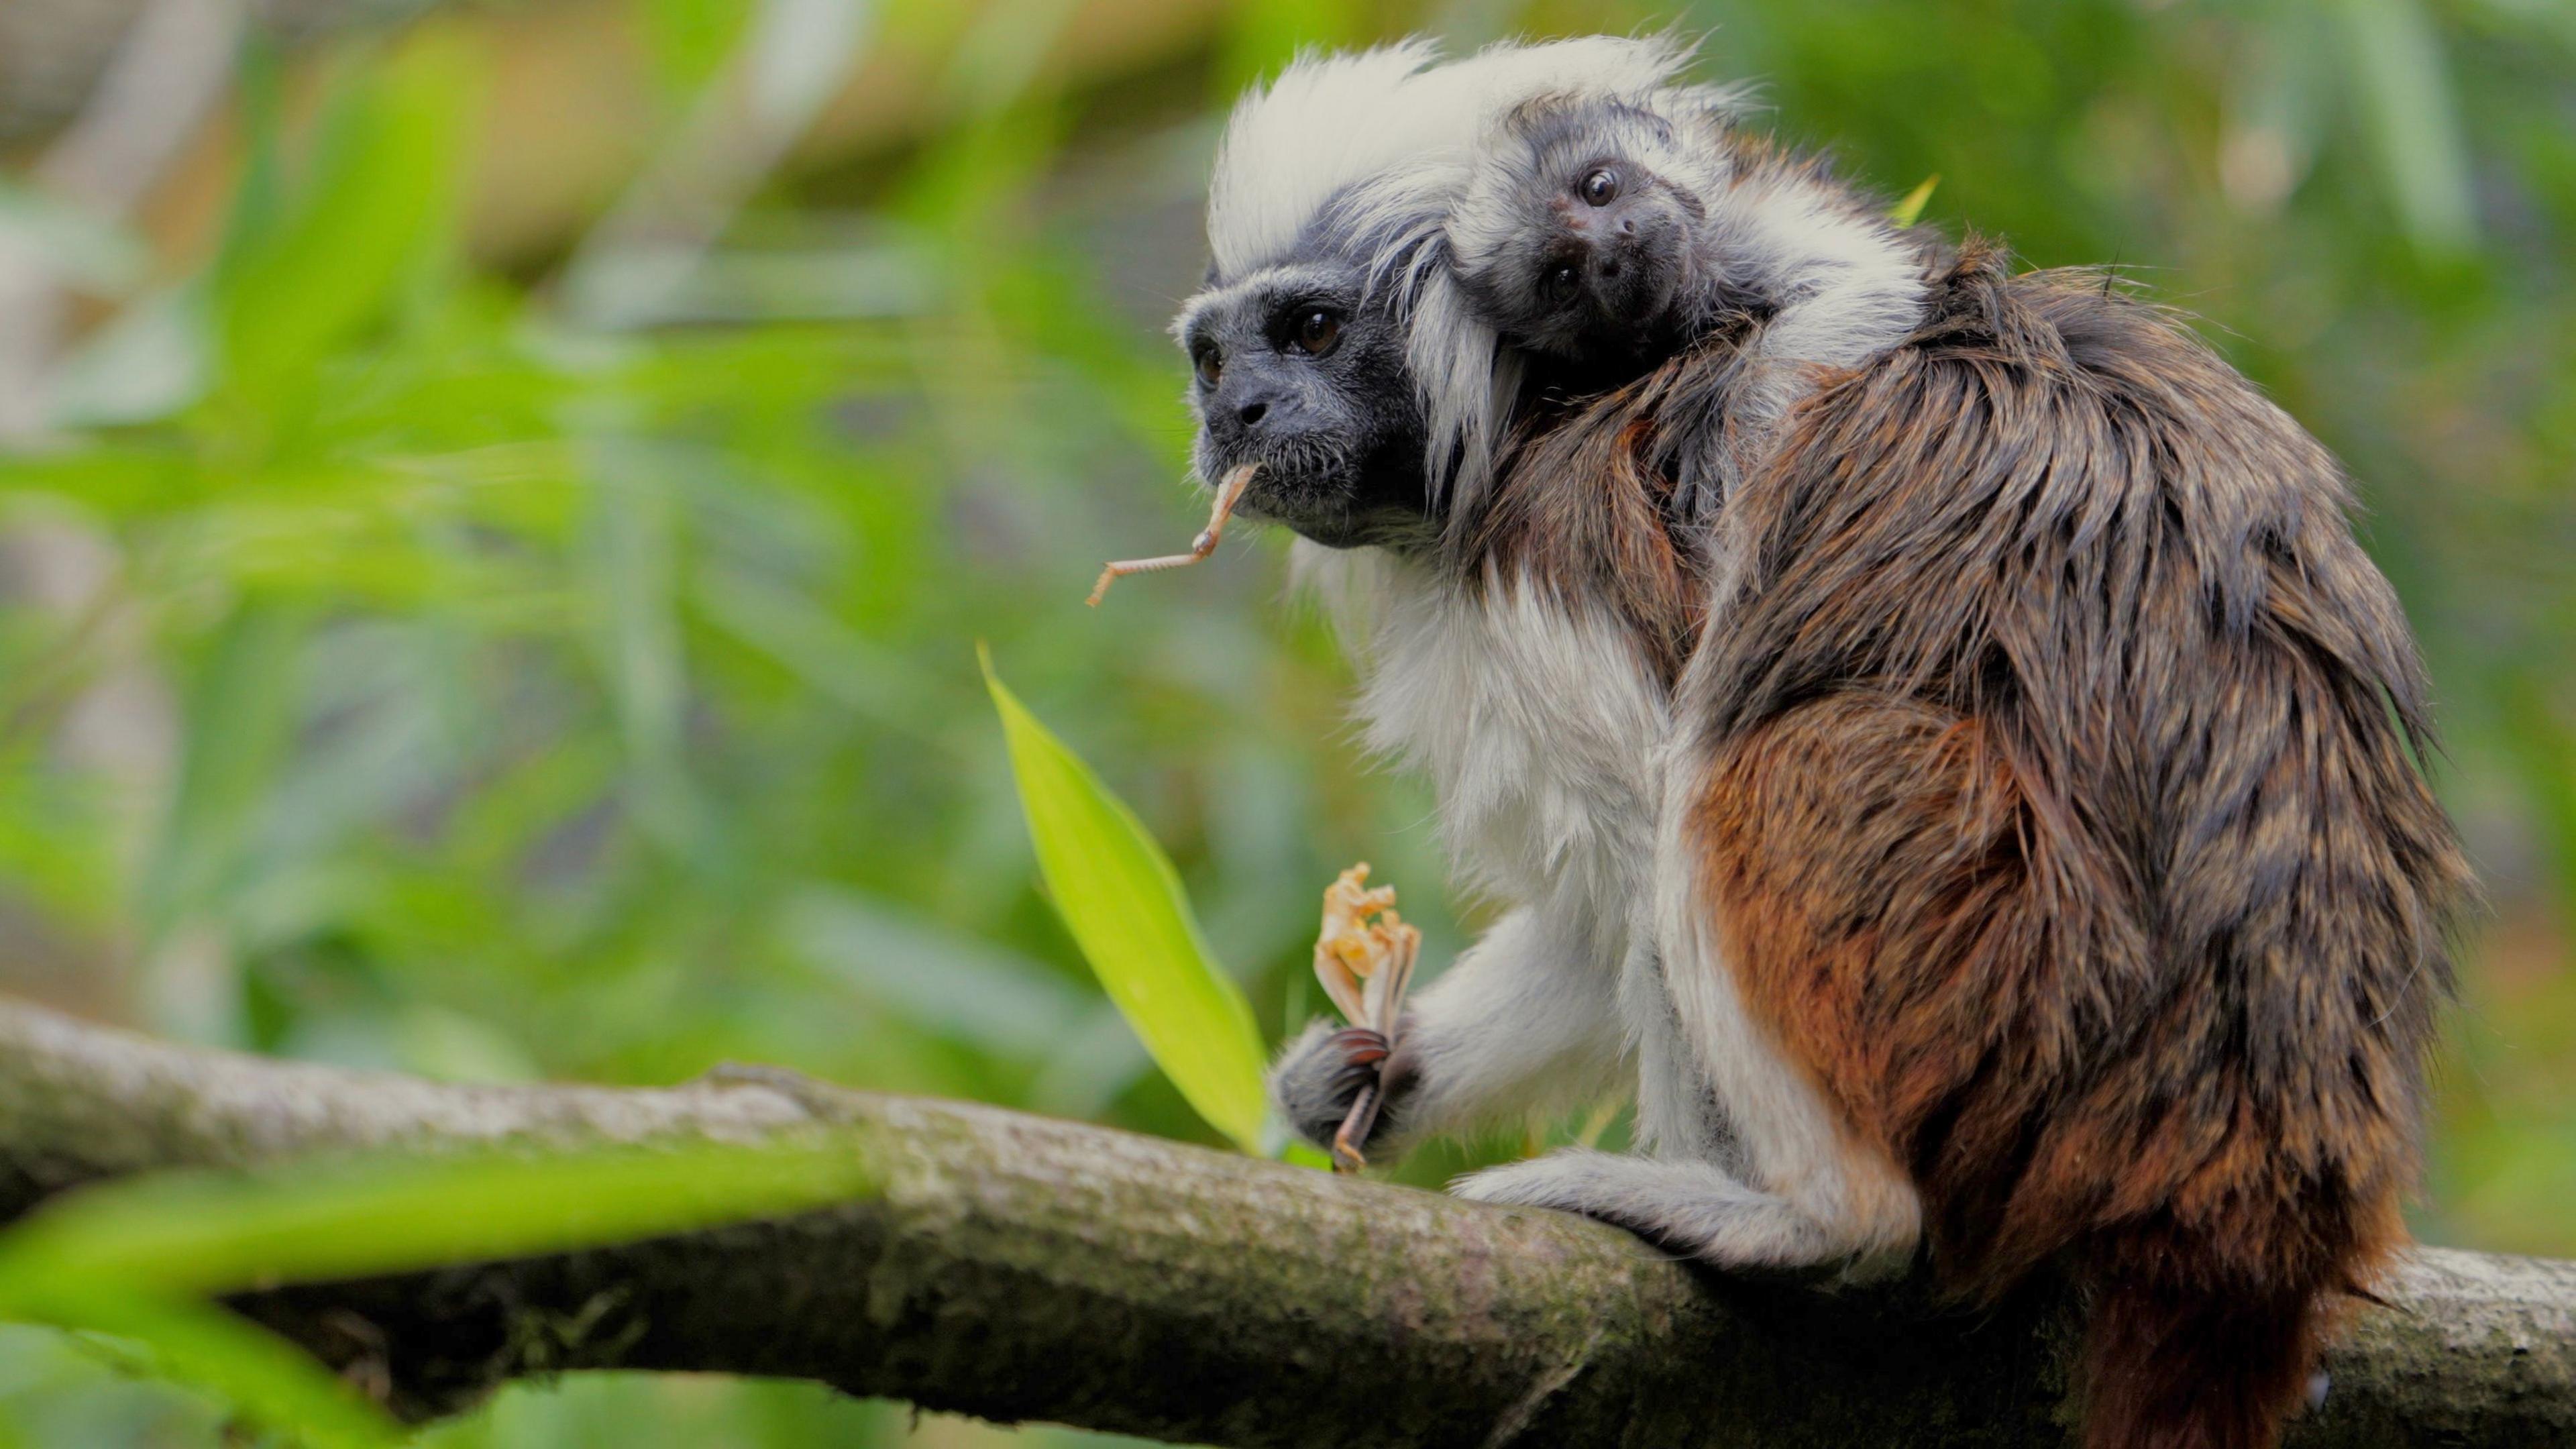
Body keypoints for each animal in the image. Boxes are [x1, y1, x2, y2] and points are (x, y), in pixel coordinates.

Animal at [1175, 34, 2473, 1444]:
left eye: (1309, 331)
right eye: (1214, 358)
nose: (1236, 415)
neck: (1523, 413)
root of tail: (2256, 1191)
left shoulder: (1554, 574)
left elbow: (1648, 837)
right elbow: (1592, 925)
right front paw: (1370, 1072)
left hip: (2010, 970)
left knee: (1728, 780)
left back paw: (1815, 1217)